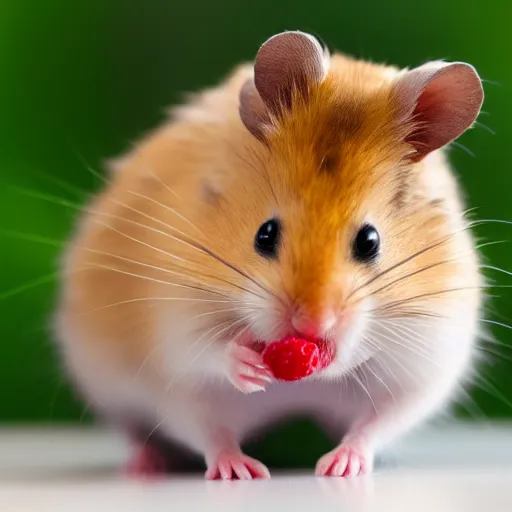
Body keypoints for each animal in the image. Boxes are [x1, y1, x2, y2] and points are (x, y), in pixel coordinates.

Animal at [54, 32, 486, 480]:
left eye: (370, 241)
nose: (310, 325)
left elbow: (374, 419)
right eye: (265, 234)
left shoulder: (424, 359)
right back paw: (207, 468)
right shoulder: (175, 335)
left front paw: (338, 467)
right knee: (185, 432)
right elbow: (210, 357)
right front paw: (248, 365)